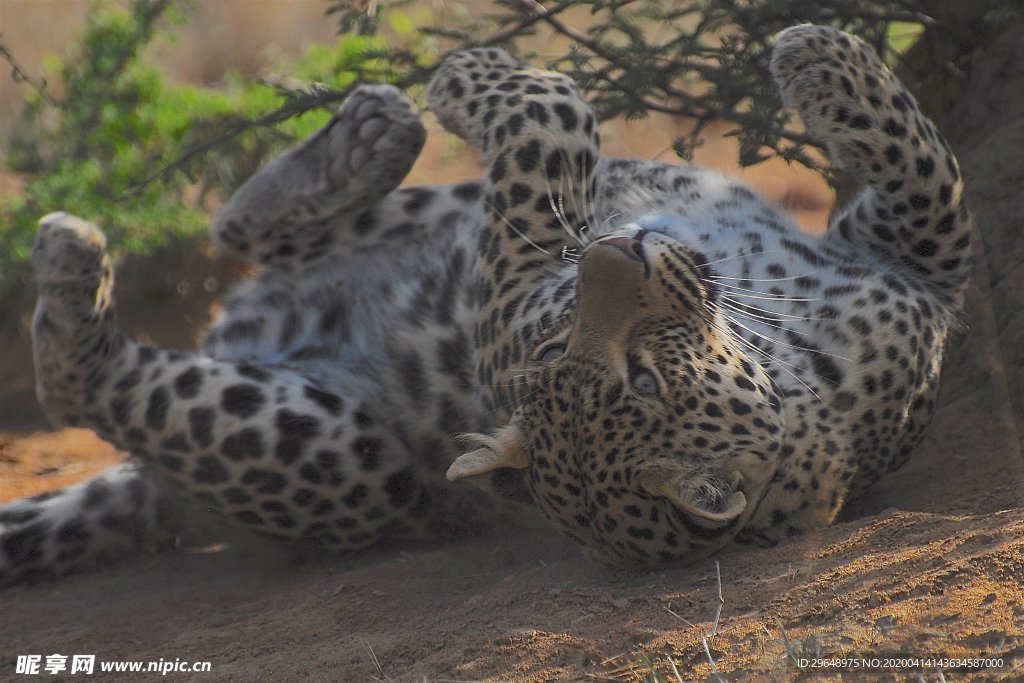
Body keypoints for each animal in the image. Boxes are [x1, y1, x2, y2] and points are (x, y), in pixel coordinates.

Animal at [0, 24, 970, 585]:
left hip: (330, 439)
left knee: (101, 368)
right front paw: (828, 59)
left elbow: (940, 189)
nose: (614, 248)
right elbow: (933, 178)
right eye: (557, 349)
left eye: (644, 380)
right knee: (234, 238)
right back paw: (359, 140)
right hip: (414, 260)